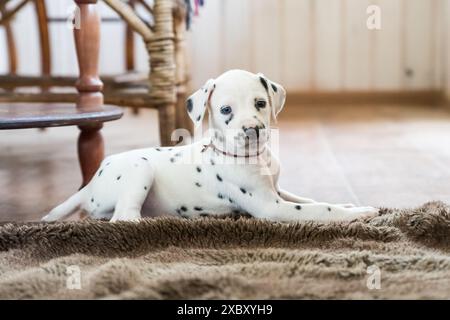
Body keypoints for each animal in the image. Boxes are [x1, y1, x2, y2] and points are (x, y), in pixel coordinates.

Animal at [43, 69, 380, 222]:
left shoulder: (277, 190)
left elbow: (310, 199)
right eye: (226, 110)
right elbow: (319, 209)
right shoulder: (270, 206)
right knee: (123, 216)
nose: (253, 129)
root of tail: (90, 183)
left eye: (260, 103)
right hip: (140, 168)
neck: (251, 156)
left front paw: (349, 205)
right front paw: (361, 212)